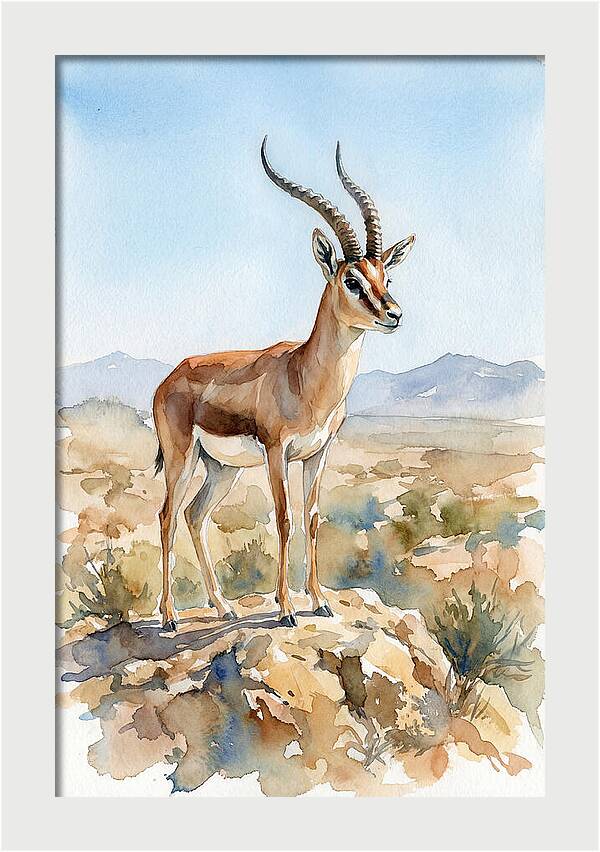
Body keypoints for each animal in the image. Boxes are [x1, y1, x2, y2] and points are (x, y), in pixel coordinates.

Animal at [153, 137, 415, 630]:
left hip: (222, 468)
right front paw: (287, 608)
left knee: (195, 516)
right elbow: (283, 519)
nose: (393, 314)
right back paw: (170, 616)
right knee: (167, 516)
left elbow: (311, 517)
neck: (305, 376)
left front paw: (320, 600)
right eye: (351, 279)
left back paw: (223, 606)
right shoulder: (278, 451)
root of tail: (170, 377)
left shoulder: (318, 452)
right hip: (182, 457)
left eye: (385, 276)